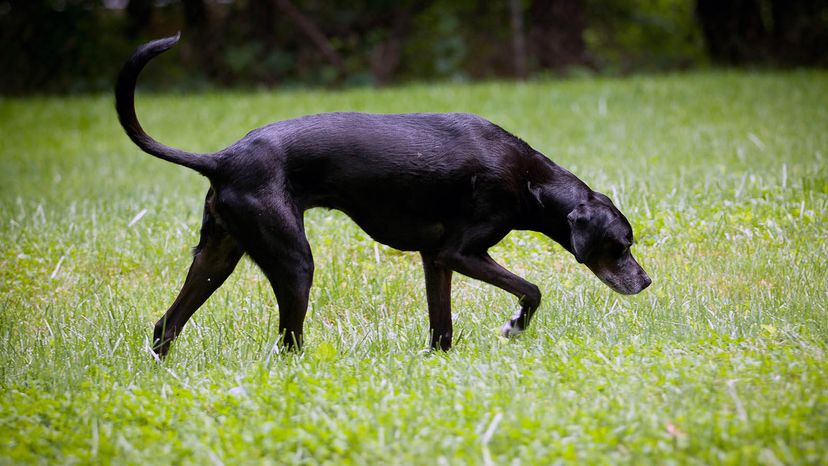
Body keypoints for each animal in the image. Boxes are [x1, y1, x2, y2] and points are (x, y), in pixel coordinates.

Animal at [116, 35, 652, 356]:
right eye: (621, 245)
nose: (645, 281)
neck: (527, 179)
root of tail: (223, 158)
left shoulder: (436, 259)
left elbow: (442, 328)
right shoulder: (460, 252)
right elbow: (532, 289)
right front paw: (515, 325)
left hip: (218, 257)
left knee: (165, 326)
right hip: (293, 263)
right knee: (287, 342)